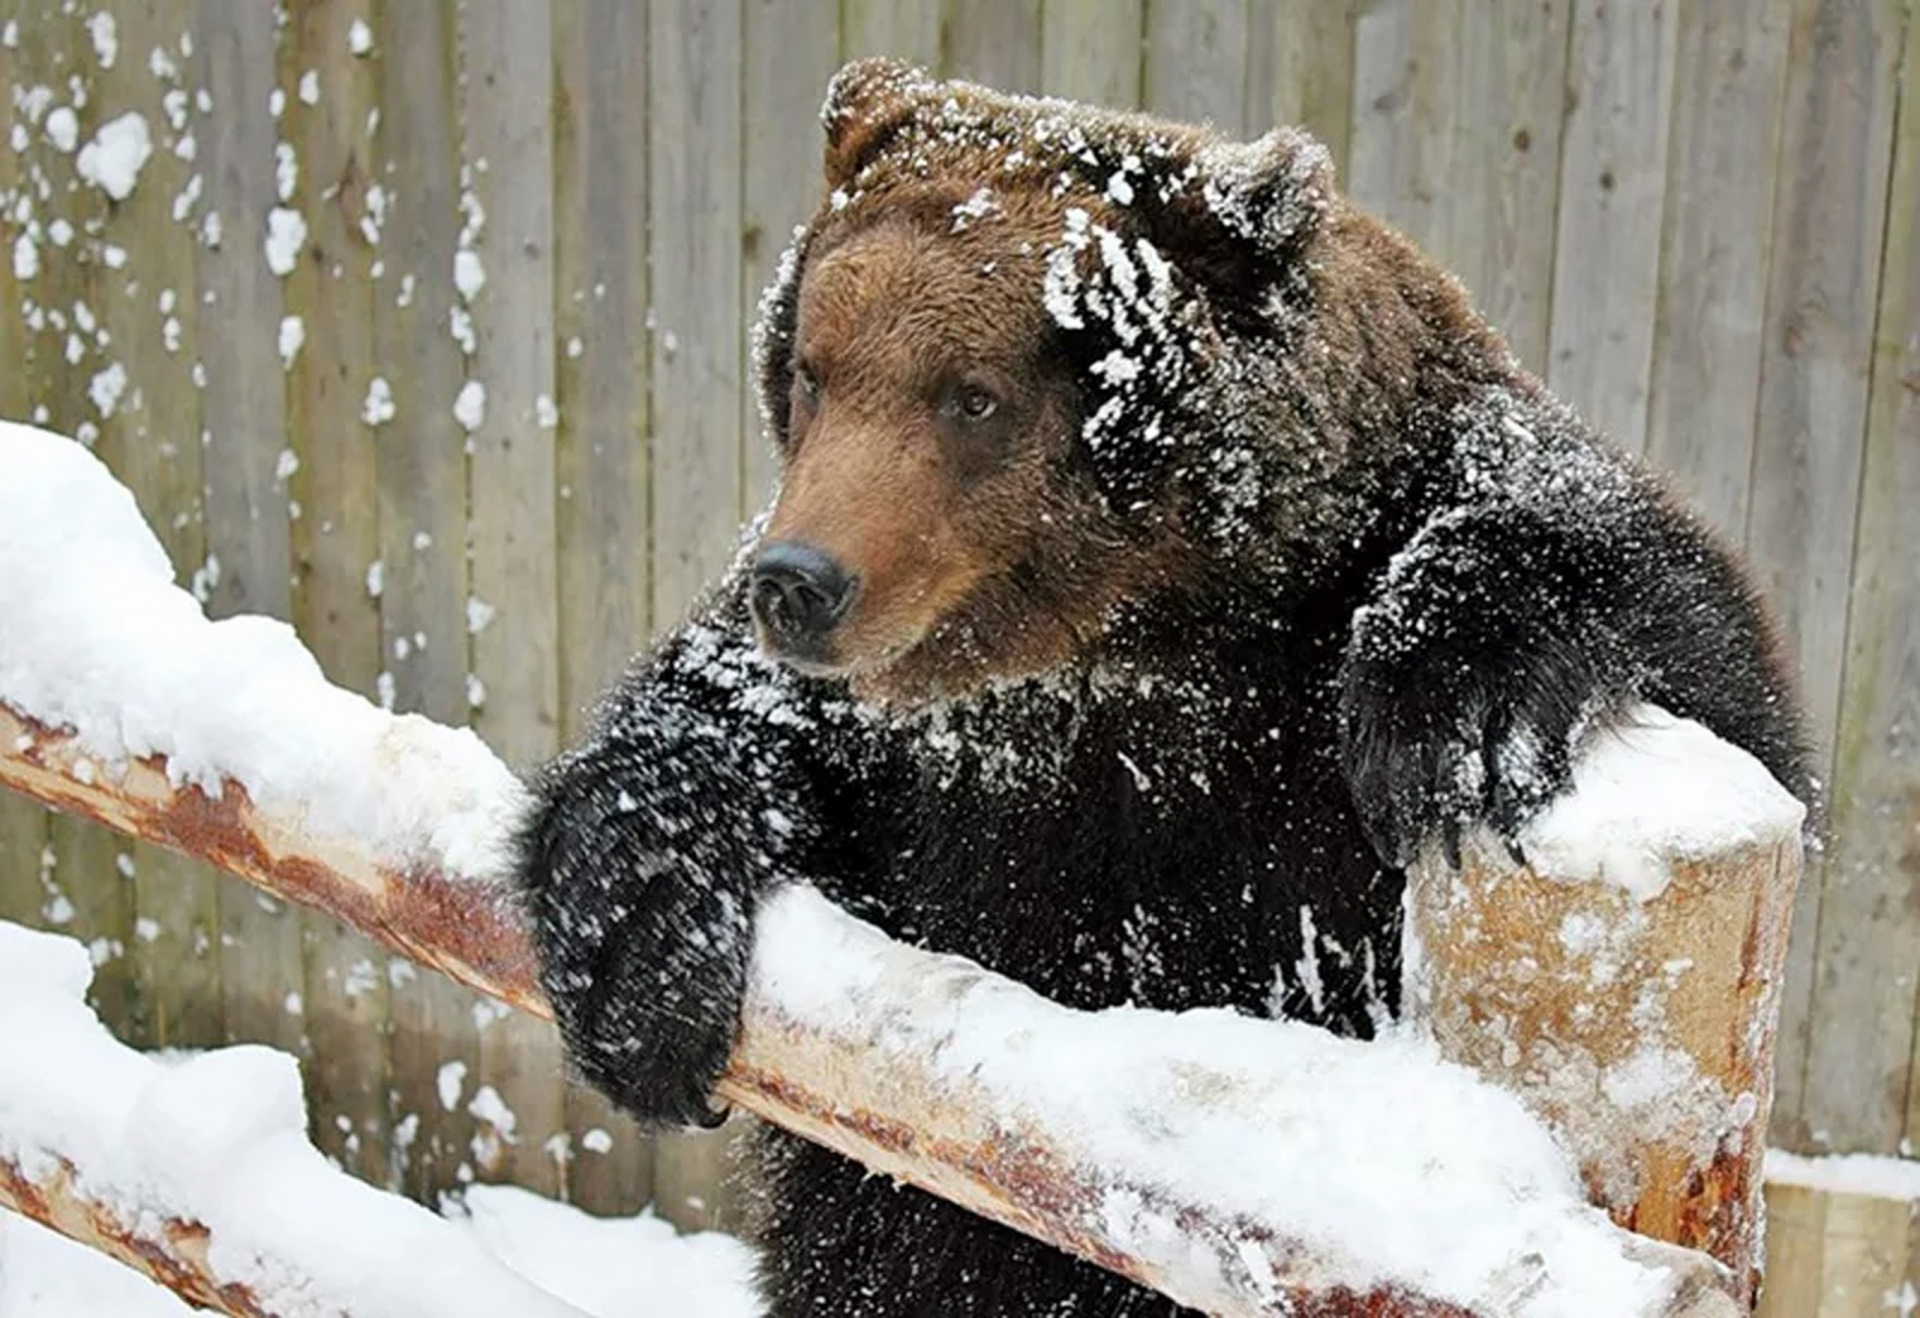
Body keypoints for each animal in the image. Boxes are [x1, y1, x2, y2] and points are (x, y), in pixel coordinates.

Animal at [518, 56, 1804, 1314]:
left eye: (970, 393)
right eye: (814, 369)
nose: (799, 580)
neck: (1127, 643)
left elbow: (1672, 625)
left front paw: (1451, 718)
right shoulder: (929, 764)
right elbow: (724, 721)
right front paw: (635, 934)